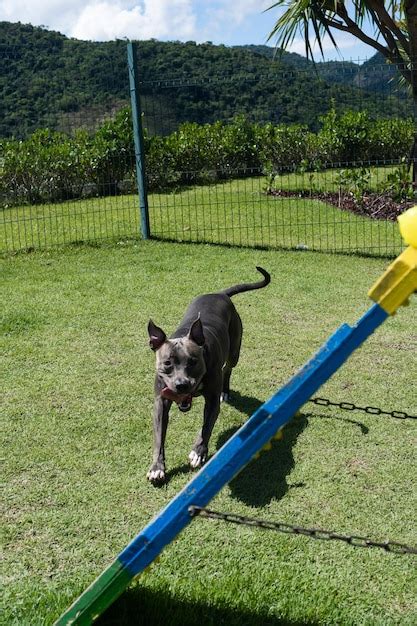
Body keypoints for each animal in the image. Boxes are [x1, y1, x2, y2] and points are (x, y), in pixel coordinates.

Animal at [146, 266, 270, 480]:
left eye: (193, 361)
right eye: (167, 363)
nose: (182, 385)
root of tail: (220, 294)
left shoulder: (211, 400)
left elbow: (206, 428)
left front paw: (198, 452)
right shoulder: (161, 401)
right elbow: (159, 437)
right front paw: (157, 467)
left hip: (234, 350)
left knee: (227, 369)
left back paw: (225, 392)